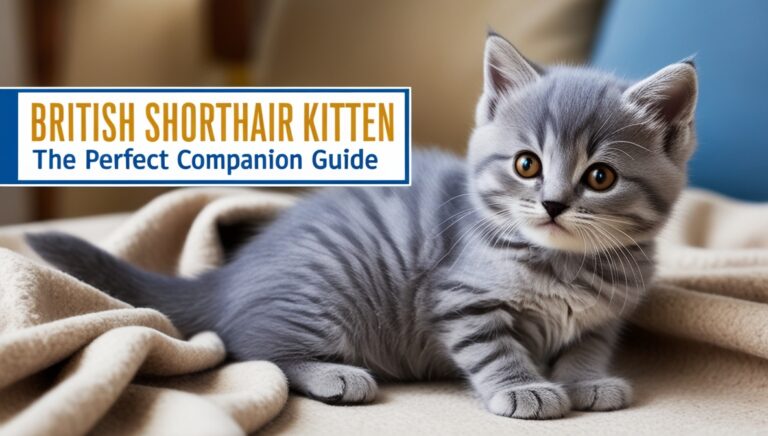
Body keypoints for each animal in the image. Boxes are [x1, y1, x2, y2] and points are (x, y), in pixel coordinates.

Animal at [27, 34, 700, 418]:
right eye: (527, 165)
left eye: (600, 177)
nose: (554, 205)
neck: (566, 262)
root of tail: (229, 276)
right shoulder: (458, 298)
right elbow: (494, 347)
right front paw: (524, 387)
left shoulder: (606, 317)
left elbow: (586, 345)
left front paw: (587, 381)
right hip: (322, 292)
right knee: (249, 350)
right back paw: (334, 375)